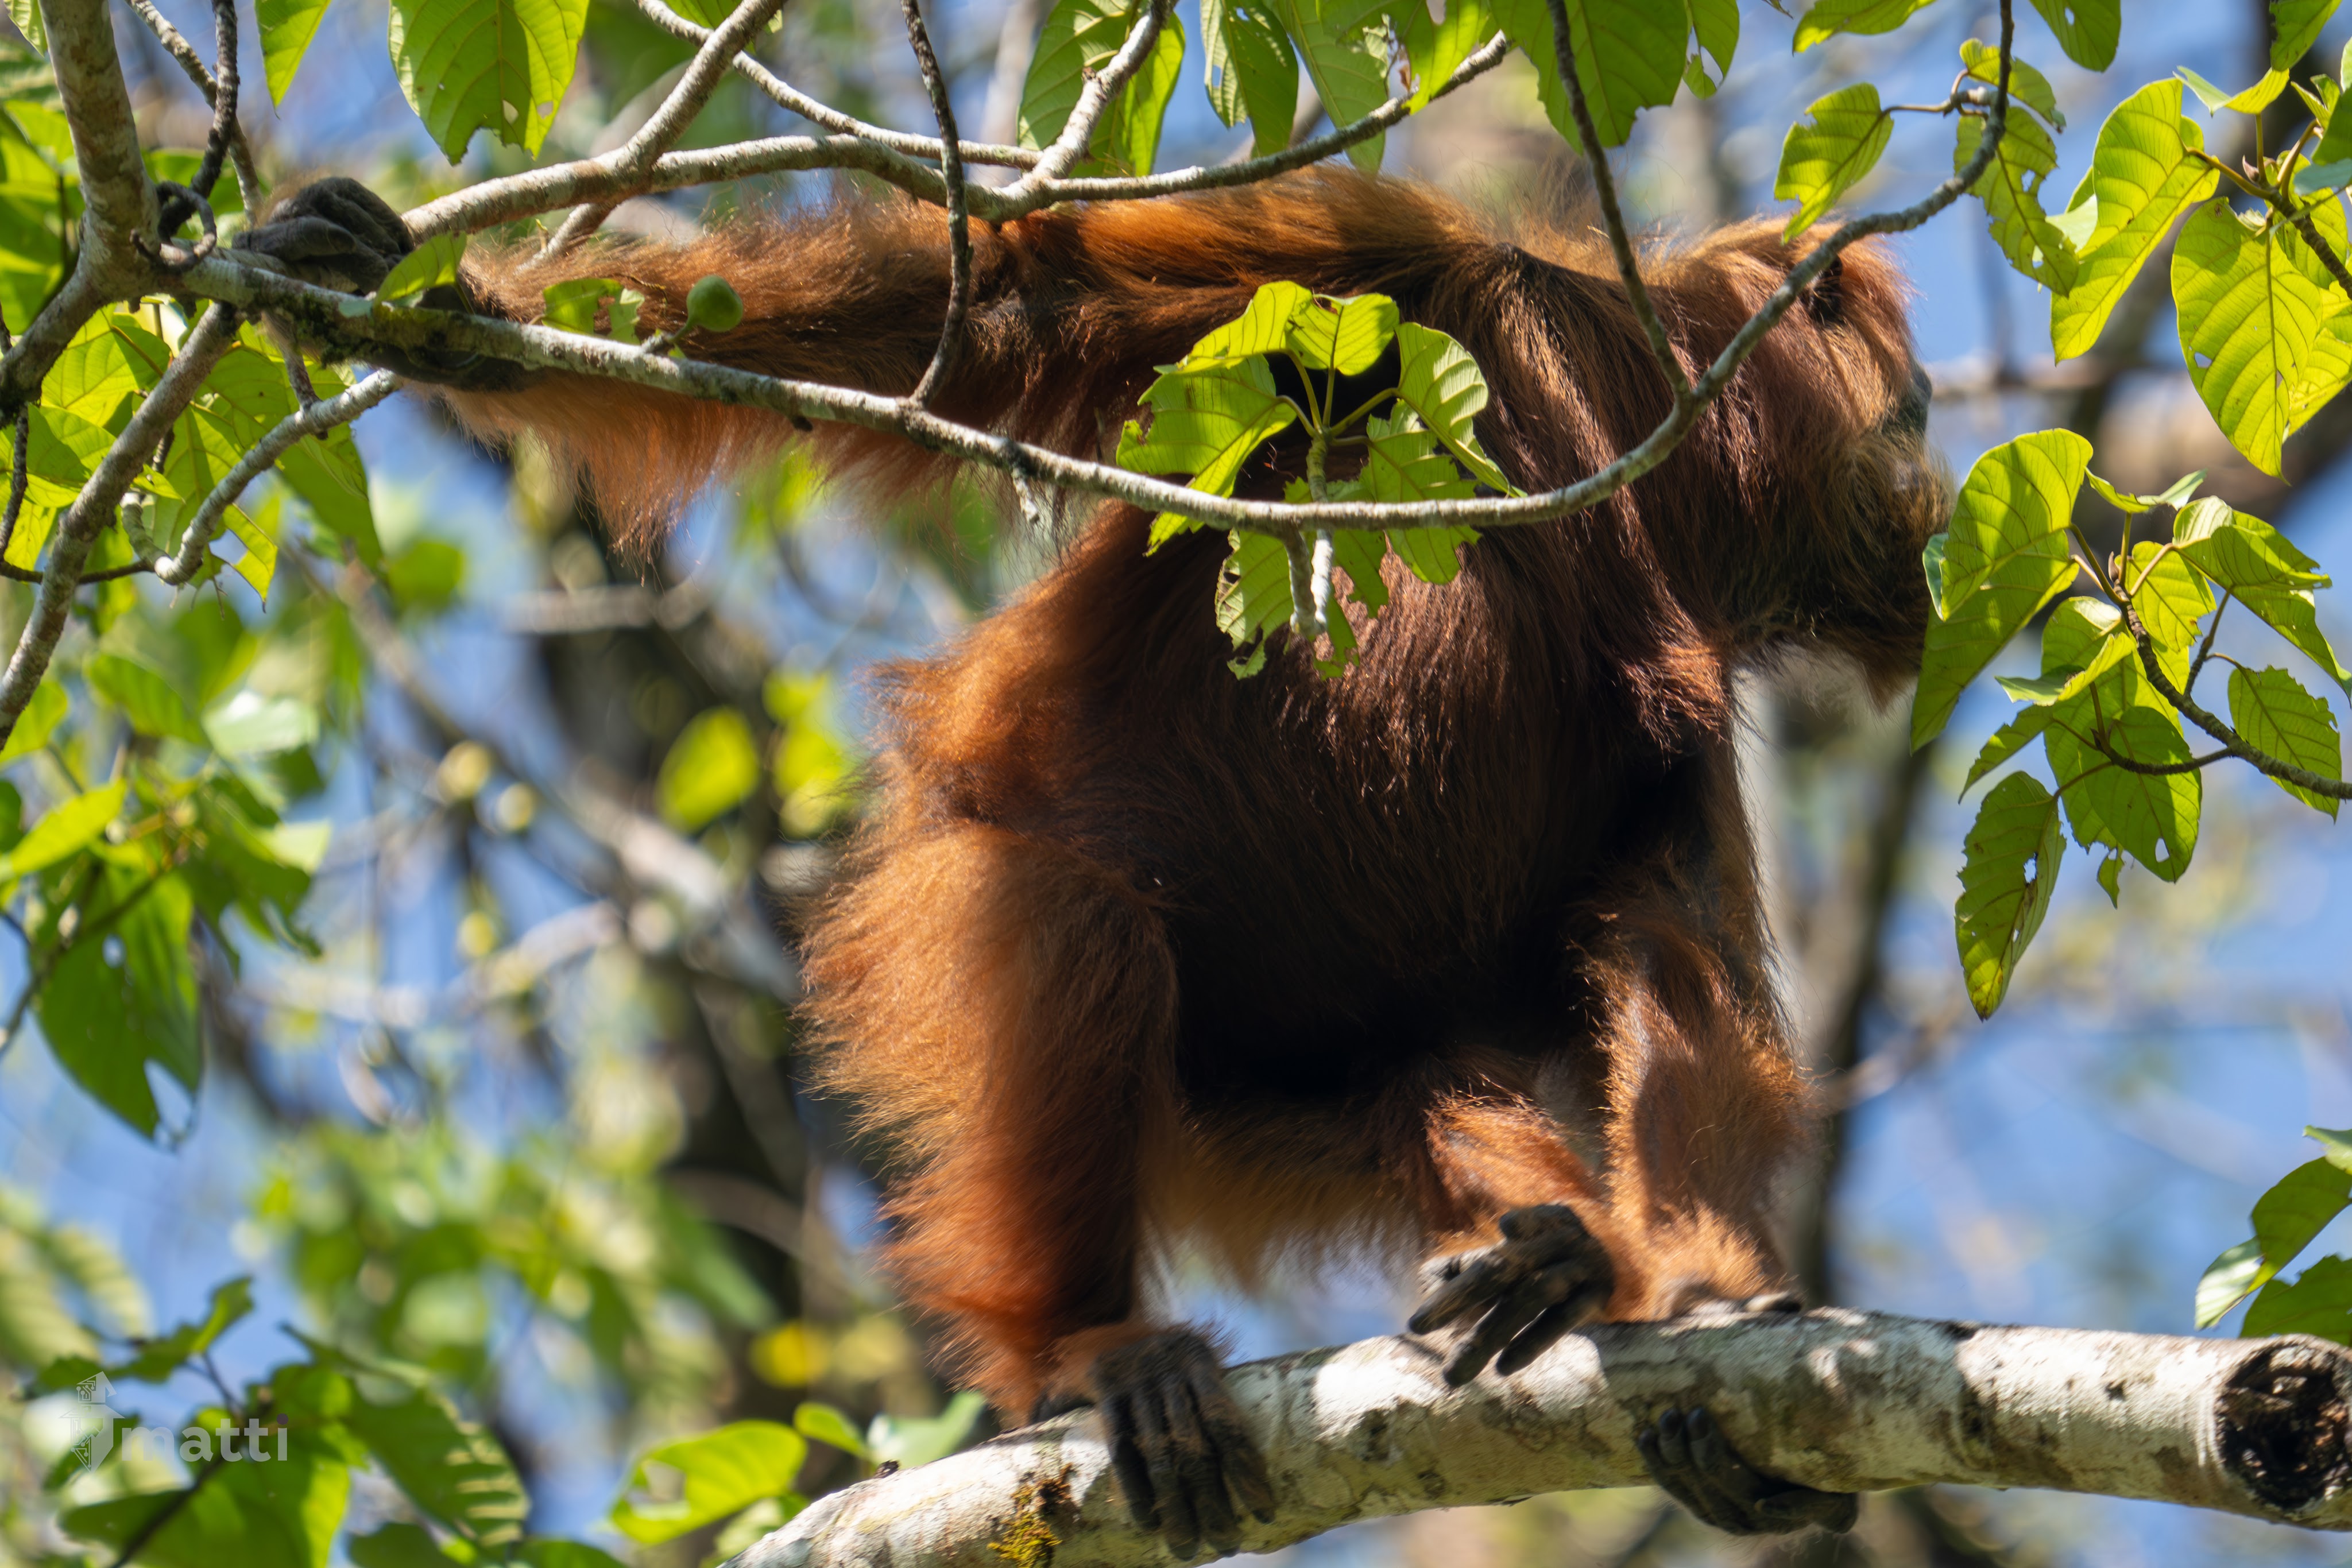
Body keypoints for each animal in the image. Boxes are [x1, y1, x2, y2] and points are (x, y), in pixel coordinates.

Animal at [234, 168, 1947, 1551]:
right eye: (1914, 405)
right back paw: (1088, 1350)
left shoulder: (1684, 686)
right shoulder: (1398, 266)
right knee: (1079, 929)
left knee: (1423, 1093)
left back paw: (1558, 1260)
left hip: (1259, 1109)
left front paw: (1711, 1305)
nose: (1938, 476)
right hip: (942, 906)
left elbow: (1670, 953)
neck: (1617, 423)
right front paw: (449, 316)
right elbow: (1019, 307)